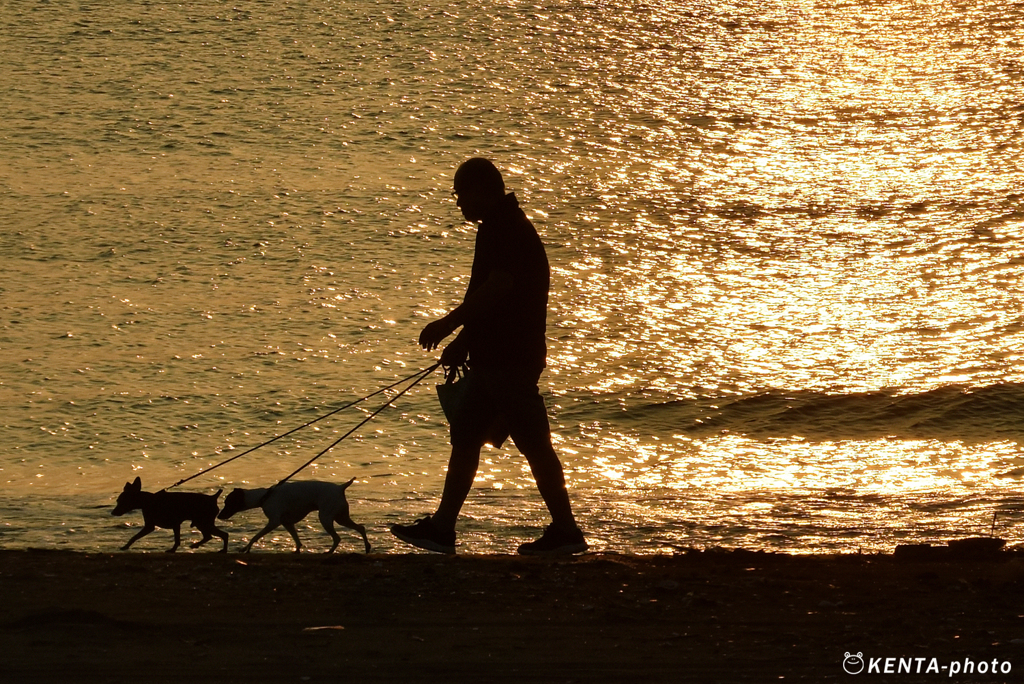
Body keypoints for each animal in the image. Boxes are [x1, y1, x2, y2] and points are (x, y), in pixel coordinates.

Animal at [218, 479, 370, 552]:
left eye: (227, 503)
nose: (219, 516)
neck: (264, 496)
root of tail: (341, 487)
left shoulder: (274, 522)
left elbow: (255, 536)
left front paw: (246, 548)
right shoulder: (287, 523)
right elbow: (297, 540)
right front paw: (297, 550)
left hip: (326, 518)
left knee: (337, 538)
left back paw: (329, 552)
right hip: (341, 518)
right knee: (360, 528)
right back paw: (367, 547)